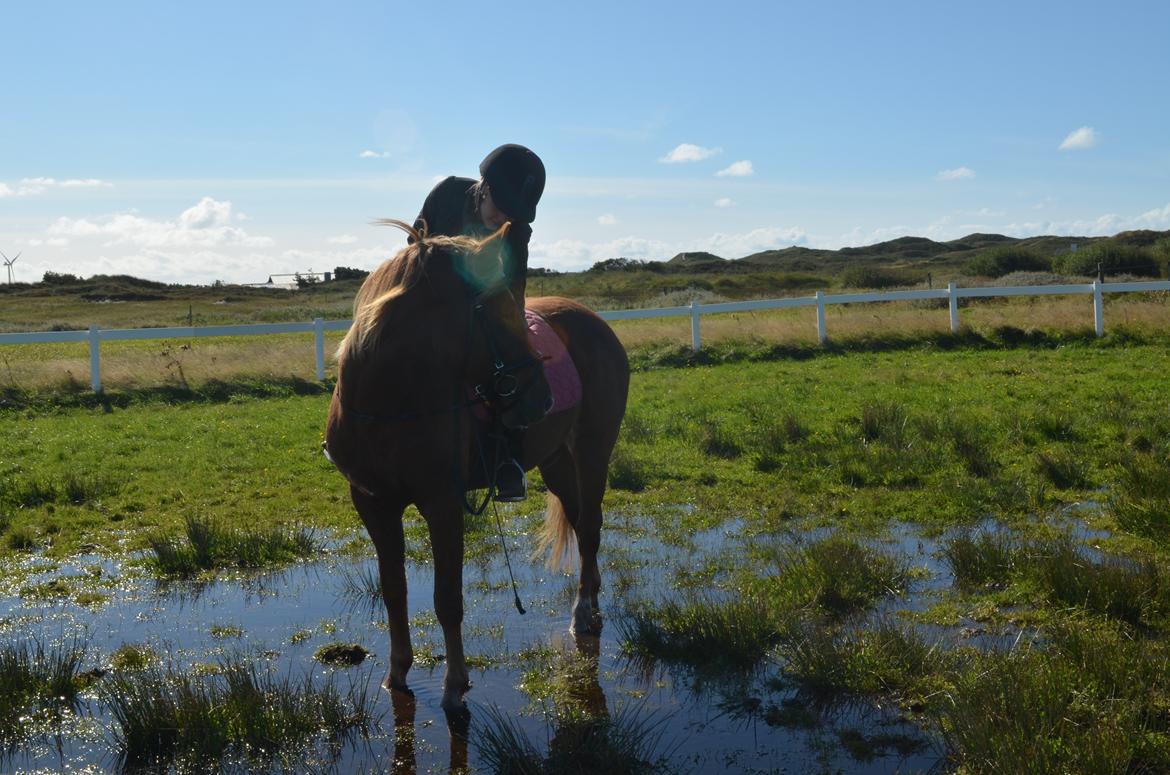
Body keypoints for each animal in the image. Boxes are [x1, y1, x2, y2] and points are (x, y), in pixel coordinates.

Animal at [320, 221, 631, 711]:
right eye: (497, 310)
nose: (542, 399)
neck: (388, 403)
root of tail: (594, 321)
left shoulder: (443, 504)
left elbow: (447, 598)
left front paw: (455, 683)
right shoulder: (373, 504)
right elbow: (393, 591)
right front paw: (397, 672)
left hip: (592, 450)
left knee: (592, 527)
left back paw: (584, 612)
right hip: (557, 461)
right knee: (580, 521)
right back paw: (591, 600)